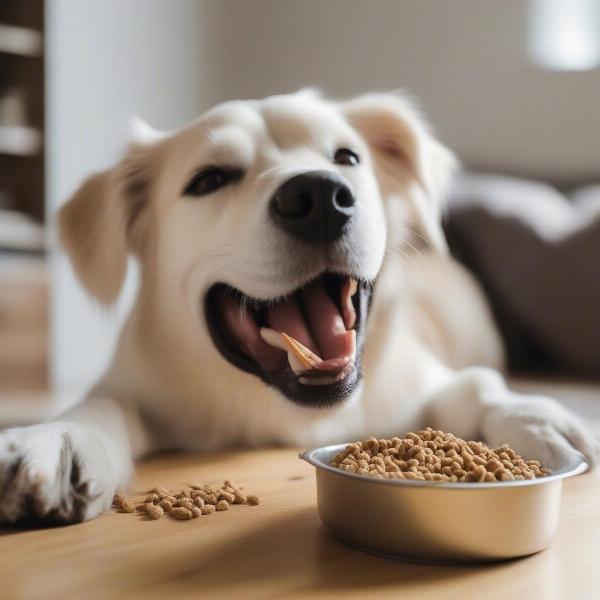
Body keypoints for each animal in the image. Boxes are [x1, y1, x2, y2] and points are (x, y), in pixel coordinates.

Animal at [0, 90, 596, 524]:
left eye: (347, 158)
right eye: (209, 180)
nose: (319, 198)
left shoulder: (416, 379)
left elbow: (477, 385)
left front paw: (543, 416)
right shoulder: (141, 387)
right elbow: (102, 404)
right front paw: (60, 440)